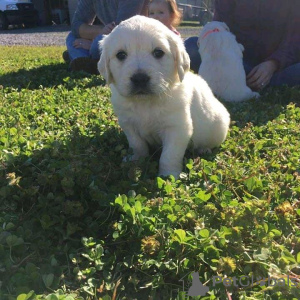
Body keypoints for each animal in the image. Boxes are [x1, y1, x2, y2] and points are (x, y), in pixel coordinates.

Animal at [98, 15, 230, 178]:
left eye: (158, 53)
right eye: (121, 55)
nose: (140, 78)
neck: (145, 103)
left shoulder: (177, 128)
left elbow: (169, 155)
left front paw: (168, 175)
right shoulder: (128, 124)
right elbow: (137, 144)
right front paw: (136, 159)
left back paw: (203, 149)